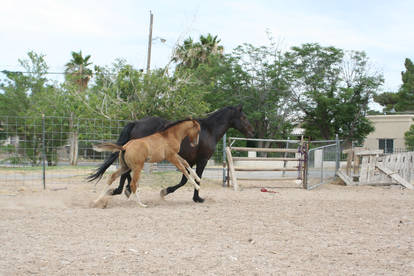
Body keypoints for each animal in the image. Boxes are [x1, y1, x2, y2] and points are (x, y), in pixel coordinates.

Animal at [89, 104, 254, 202]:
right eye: (243, 117)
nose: (252, 132)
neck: (209, 130)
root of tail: (136, 123)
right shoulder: (202, 160)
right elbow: (193, 179)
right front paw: (194, 197)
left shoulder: (188, 160)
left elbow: (185, 179)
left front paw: (167, 191)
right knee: (126, 173)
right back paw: (123, 190)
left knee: (125, 172)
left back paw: (124, 190)